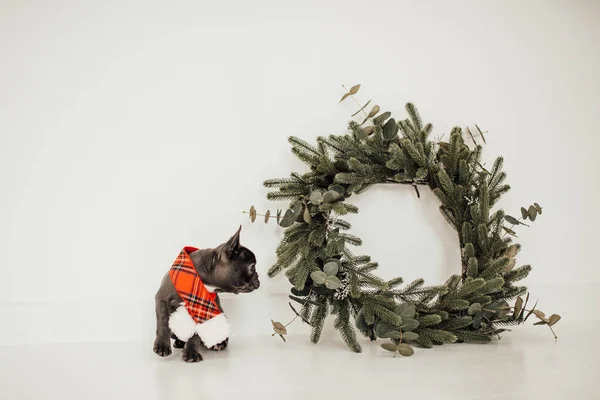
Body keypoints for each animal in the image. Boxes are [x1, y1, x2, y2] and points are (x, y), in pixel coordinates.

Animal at [154, 225, 258, 362]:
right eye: (252, 267)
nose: (258, 279)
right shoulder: (162, 298)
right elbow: (163, 321)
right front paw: (162, 345)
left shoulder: (200, 310)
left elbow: (195, 334)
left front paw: (192, 352)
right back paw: (180, 342)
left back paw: (218, 344)